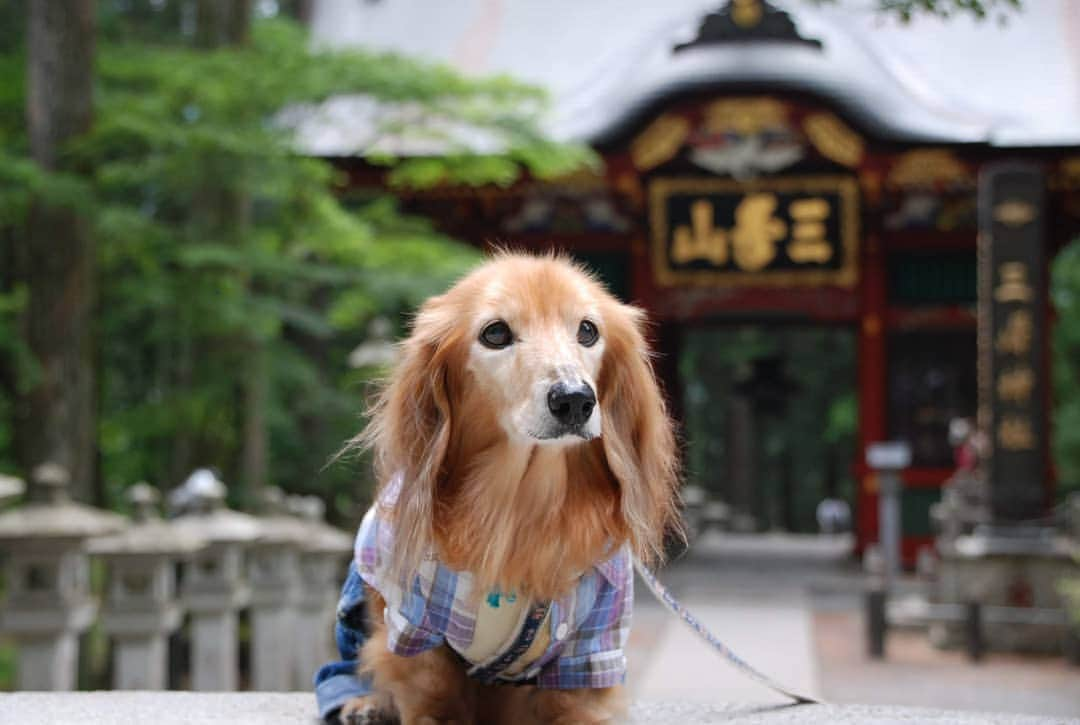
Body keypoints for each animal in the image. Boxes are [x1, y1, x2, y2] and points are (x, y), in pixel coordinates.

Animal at [341, 250, 678, 725]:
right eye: (496, 332)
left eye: (587, 330)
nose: (574, 399)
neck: (518, 503)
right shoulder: (411, 622)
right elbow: (430, 691)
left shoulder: (594, 641)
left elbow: (577, 701)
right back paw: (366, 703)